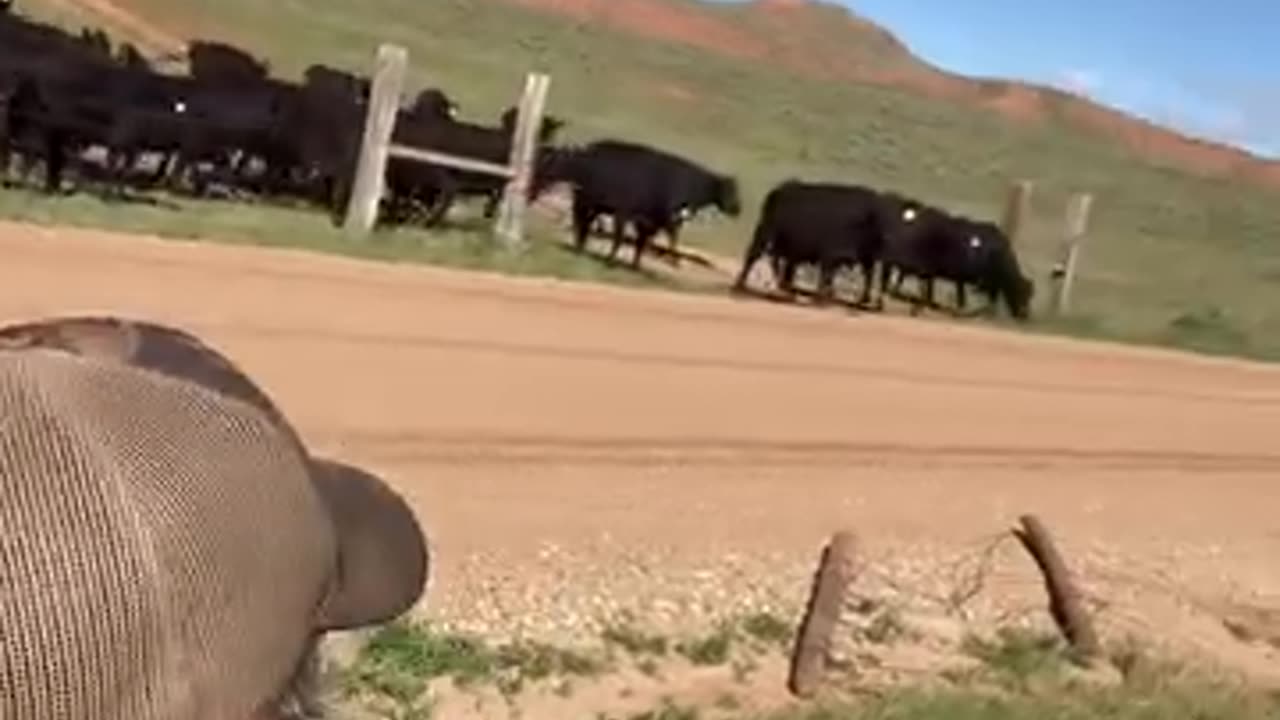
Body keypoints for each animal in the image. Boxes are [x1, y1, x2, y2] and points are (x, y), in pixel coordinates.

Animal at [737, 180, 896, 307]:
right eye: (880, 224)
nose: (887, 239)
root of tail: (778, 191)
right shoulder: (830, 255)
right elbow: (826, 277)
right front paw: (822, 298)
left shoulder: (855, 259)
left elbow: (854, 277)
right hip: (765, 235)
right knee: (753, 256)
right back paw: (740, 286)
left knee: (781, 267)